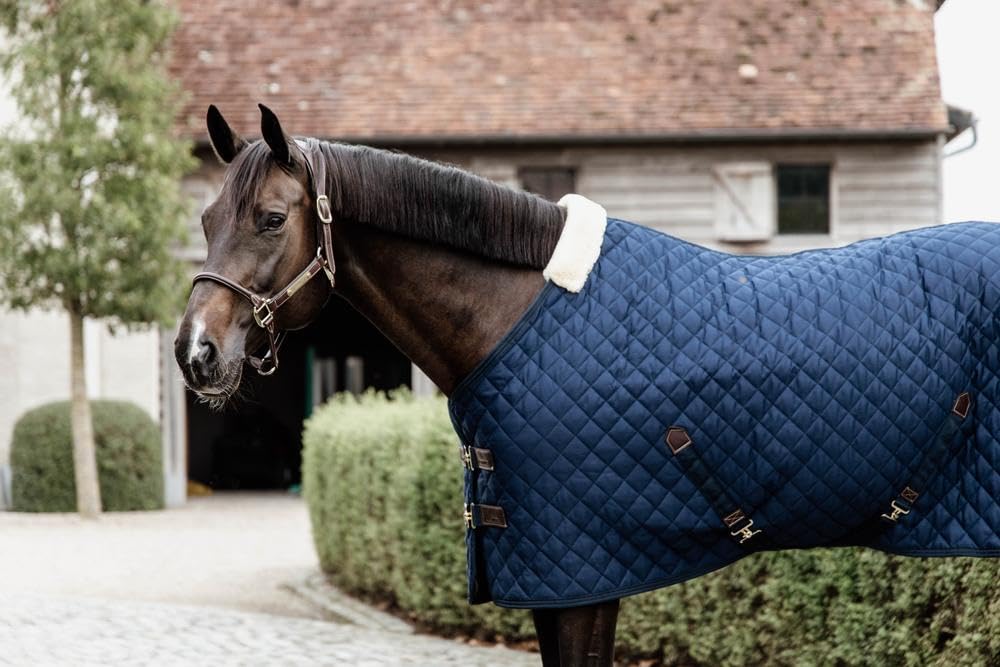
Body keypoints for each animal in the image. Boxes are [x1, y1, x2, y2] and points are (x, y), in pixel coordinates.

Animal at [175, 105, 1000, 666]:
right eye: (207, 217)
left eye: (271, 217)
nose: (196, 351)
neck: (516, 314)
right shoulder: (559, 573)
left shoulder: (582, 568)